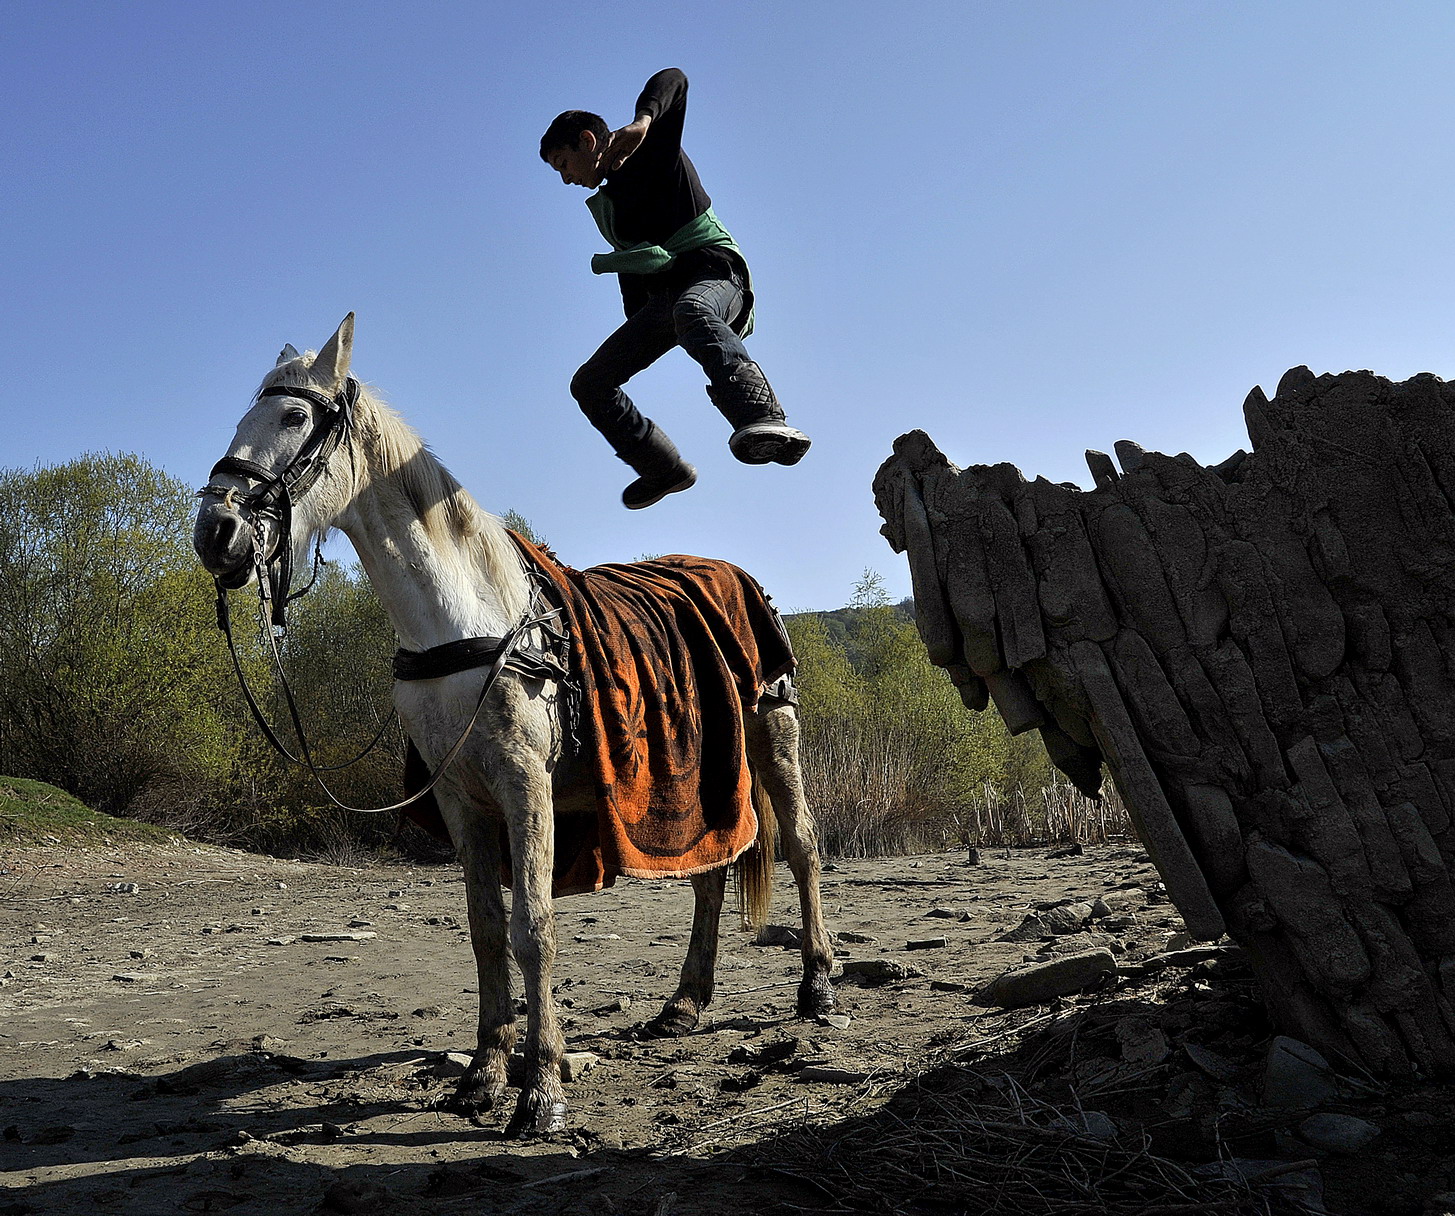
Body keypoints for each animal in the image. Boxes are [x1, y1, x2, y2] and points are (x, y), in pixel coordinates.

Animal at [189, 318, 838, 1134]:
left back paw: (818, 984)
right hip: (700, 763)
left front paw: (542, 1089)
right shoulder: (461, 800)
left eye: (294, 417)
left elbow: (534, 928)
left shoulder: (524, 786)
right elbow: (486, 930)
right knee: (710, 869)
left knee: (803, 848)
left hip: (770, 735)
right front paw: (486, 1073)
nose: (216, 531)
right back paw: (684, 1004)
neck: (469, 617)